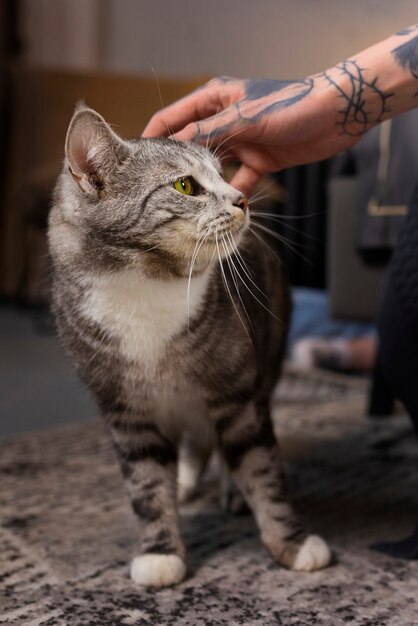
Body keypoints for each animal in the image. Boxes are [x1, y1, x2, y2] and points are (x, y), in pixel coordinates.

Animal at [48, 103, 330, 584]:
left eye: (222, 175)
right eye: (186, 186)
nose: (242, 198)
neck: (146, 286)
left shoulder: (238, 393)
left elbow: (262, 470)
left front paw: (292, 545)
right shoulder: (127, 412)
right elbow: (146, 485)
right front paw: (161, 552)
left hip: (265, 365)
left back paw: (229, 491)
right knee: (196, 442)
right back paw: (184, 480)